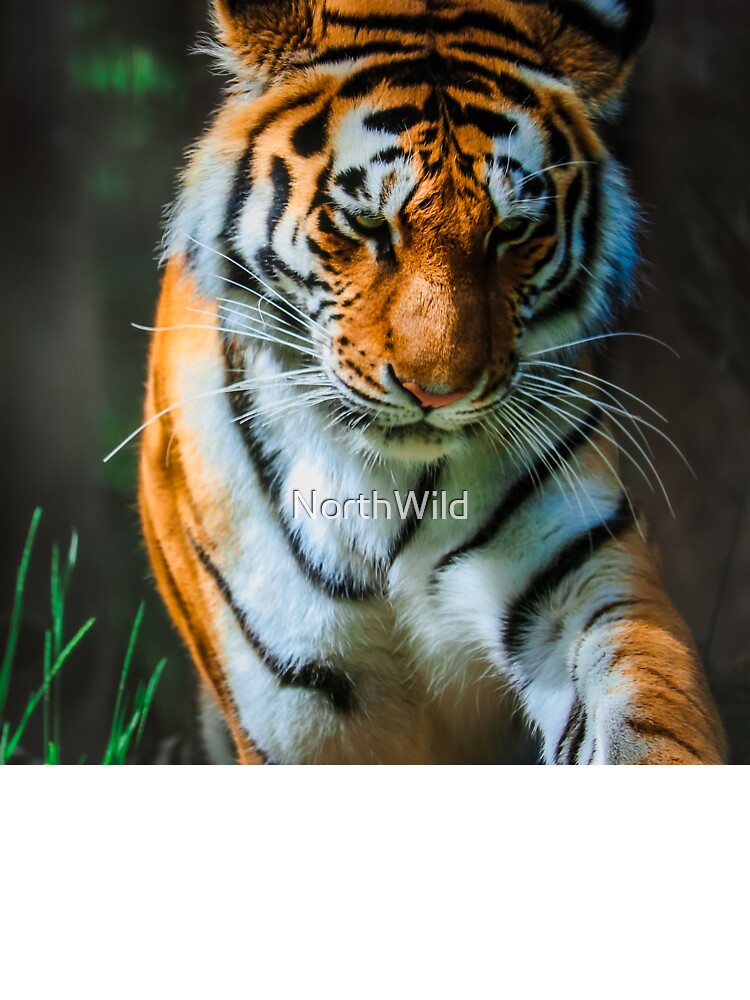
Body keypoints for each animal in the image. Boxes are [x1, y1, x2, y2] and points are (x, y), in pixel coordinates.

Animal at [138, 0, 726, 764]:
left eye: (511, 232)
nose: (437, 391)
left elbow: (647, 721)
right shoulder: (300, 698)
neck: (385, 494)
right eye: (365, 223)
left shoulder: (580, 578)